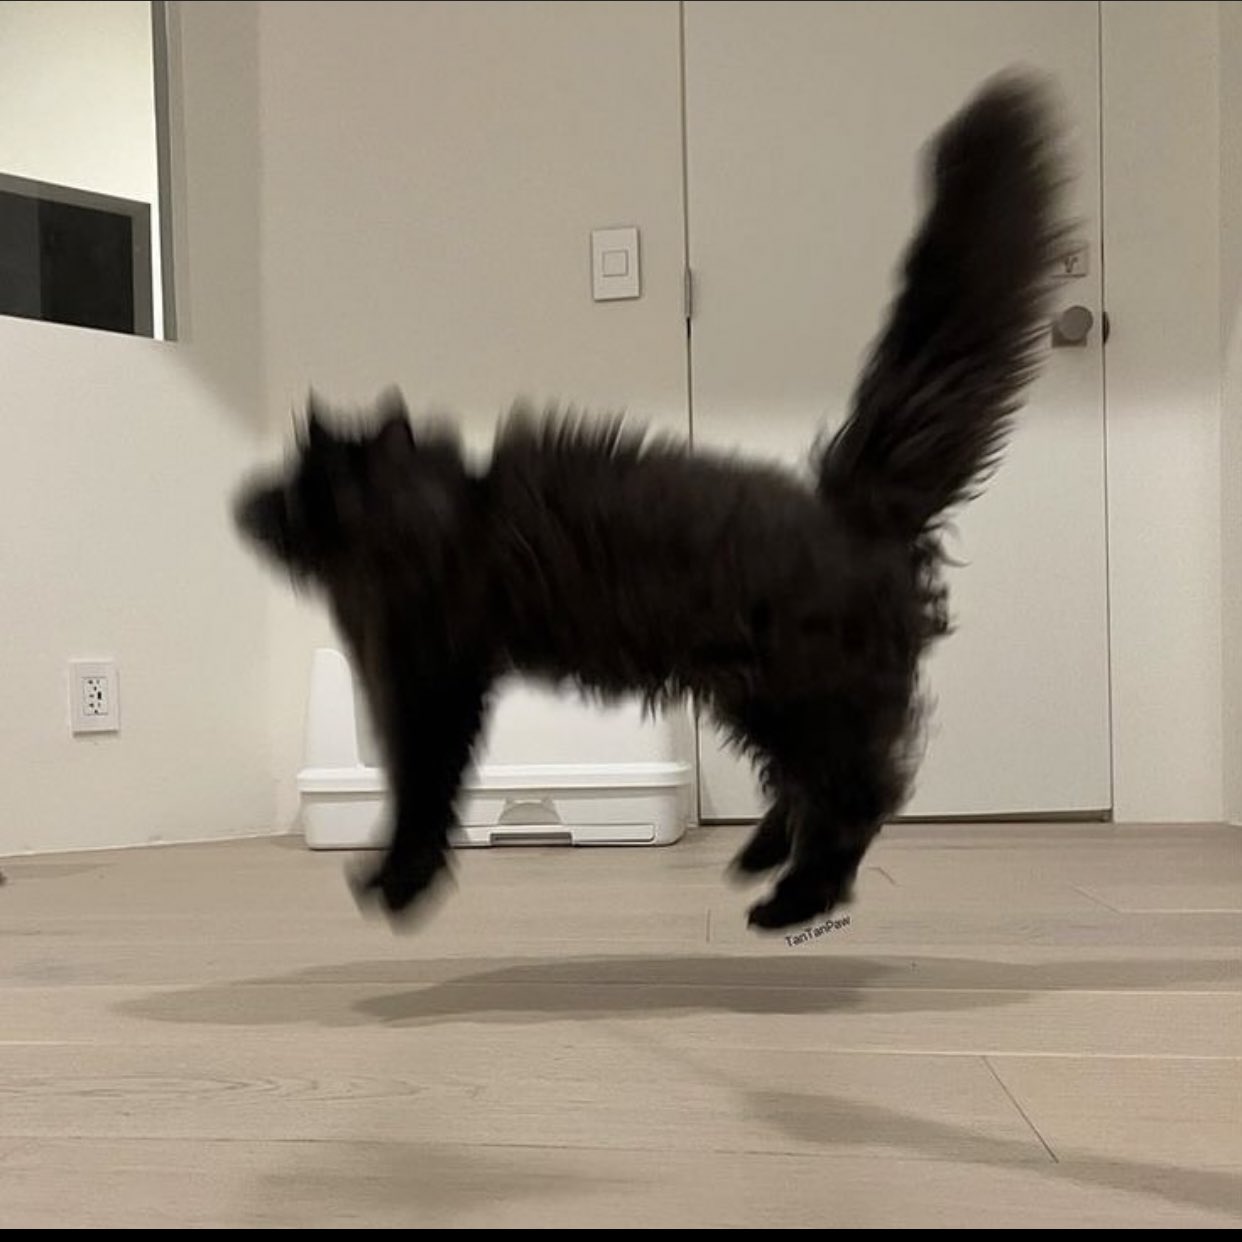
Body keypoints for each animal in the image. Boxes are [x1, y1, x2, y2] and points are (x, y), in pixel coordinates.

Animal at [235, 74, 1065, 931]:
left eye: (302, 488)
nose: (249, 504)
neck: (439, 517)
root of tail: (849, 505)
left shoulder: (428, 679)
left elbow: (420, 797)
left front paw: (398, 885)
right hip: (758, 699)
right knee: (813, 787)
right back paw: (759, 859)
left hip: (801, 693)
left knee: (860, 795)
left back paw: (793, 900)